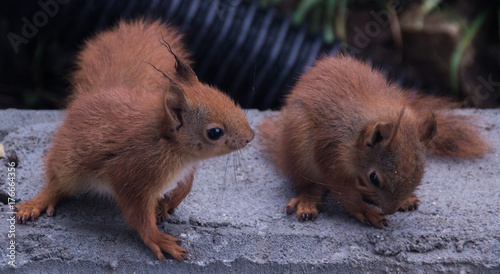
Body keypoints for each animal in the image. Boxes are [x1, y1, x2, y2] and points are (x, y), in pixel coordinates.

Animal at [14, 19, 254, 262]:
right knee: (56, 184)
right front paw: (158, 239)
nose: (250, 137)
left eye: (227, 99)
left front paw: (172, 199)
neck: (168, 145)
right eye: (215, 132)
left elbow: (187, 182)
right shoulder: (132, 175)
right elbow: (138, 214)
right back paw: (37, 202)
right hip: (67, 162)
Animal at [260, 54, 490, 228]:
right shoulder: (330, 153)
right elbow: (343, 191)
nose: (390, 209)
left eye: (420, 174)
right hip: (298, 147)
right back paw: (308, 200)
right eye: (374, 178)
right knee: (307, 183)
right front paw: (366, 212)